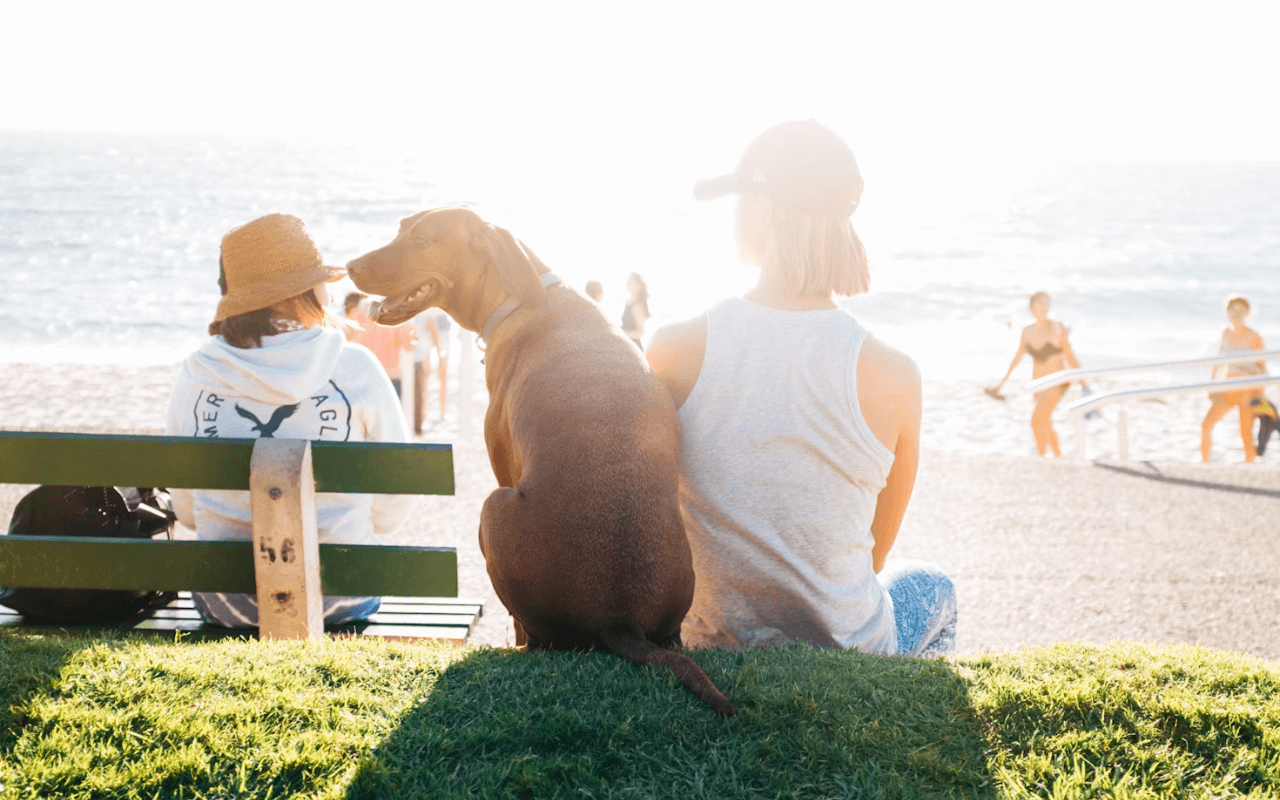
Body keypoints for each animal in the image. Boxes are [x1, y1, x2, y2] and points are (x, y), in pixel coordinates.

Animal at [345, 207, 737, 716]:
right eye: (399, 230)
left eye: (423, 240)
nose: (349, 266)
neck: (522, 295)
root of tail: (619, 618)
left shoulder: (502, 463)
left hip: (492, 508)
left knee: (536, 637)